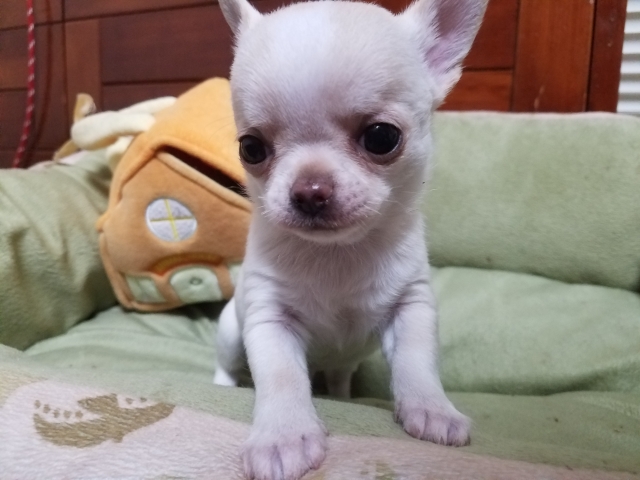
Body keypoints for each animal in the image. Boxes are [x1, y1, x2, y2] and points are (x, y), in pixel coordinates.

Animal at [213, 0, 487, 478]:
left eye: (382, 137)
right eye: (251, 148)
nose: (309, 191)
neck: (337, 253)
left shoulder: (411, 307)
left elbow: (417, 362)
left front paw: (433, 409)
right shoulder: (270, 319)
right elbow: (282, 376)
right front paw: (283, 436)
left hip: (345, 363)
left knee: (339, 377)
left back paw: (342, 395)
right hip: (232, 331)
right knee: (226, 365)